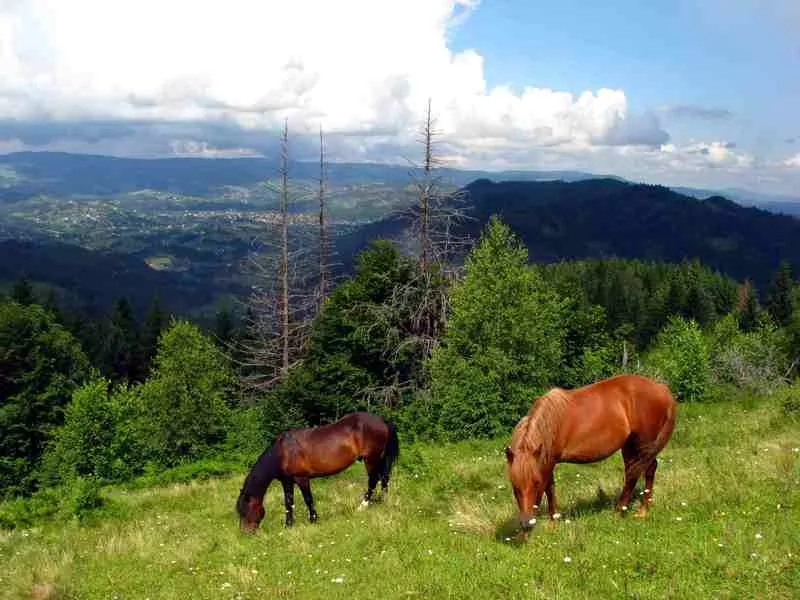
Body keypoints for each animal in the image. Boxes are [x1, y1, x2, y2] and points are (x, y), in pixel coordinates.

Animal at [236, 410, 400, 532]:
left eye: (245, 510)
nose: (246, 533)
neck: (282, 452)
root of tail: (381, 420)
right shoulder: (287, 481)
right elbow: (289, 503)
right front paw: (288, 525)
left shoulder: (302, 478)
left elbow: (308, 499)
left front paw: (313, 520)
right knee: (384, 478)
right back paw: (382, 500)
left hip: (371, 458)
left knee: (373, 480)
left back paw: (363, 506)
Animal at [506, 376, 676, 528]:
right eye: (514, 485)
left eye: (535, 482)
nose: (526, 524)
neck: (552, 422)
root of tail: (660, 388)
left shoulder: (549, 462)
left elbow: (548, 488)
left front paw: (553, 522)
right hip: (629, 446)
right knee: (634, 473)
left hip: (644, 444)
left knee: (646, 470)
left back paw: (636, 511)